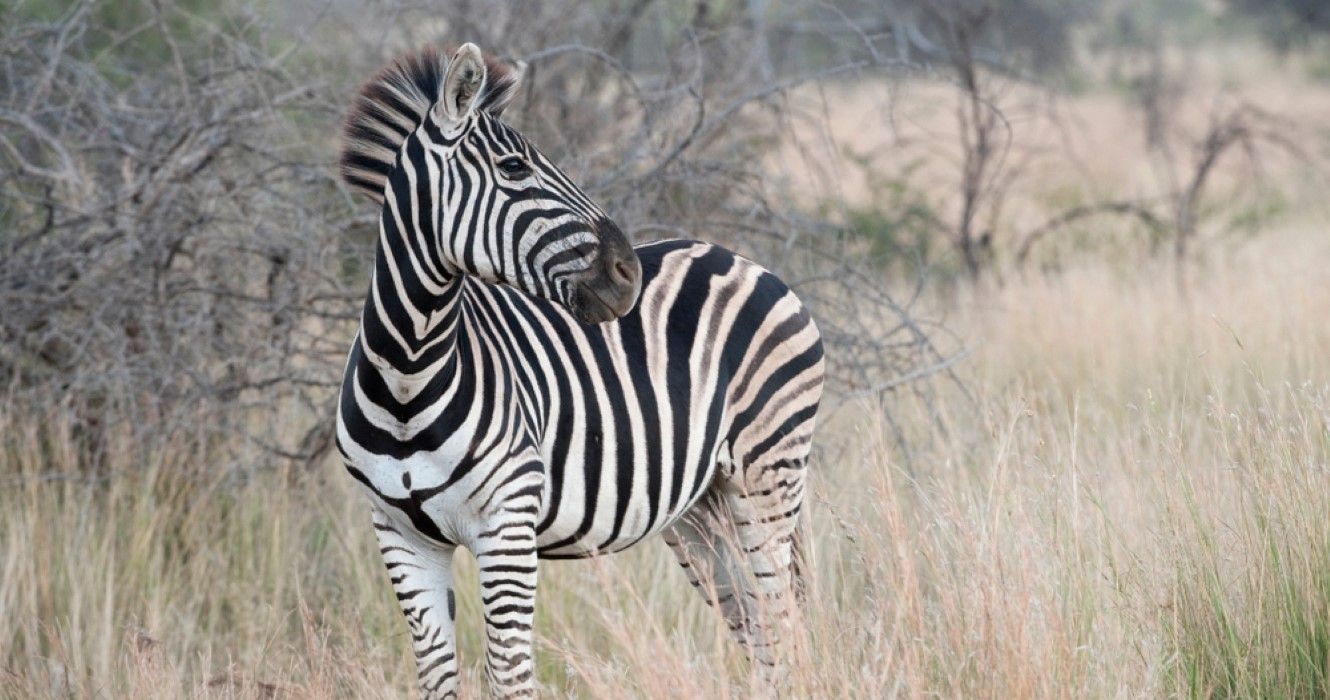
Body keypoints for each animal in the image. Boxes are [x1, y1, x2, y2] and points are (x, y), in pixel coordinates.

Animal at [335, 43, 819, 700]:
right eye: (514, 167)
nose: (627, 273)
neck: (409, 372)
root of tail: (742, 259)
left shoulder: (507, 525)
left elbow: (510, 674)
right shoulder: (399, 536)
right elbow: (437, 674)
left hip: (767, 475)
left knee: (782, 622)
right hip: (702, 507)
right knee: (756, 628)